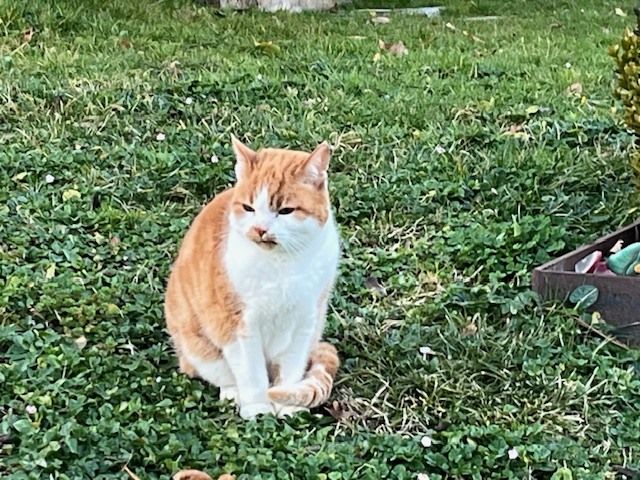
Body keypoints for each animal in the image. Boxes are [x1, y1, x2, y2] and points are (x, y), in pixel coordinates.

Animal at [165, 136, 341, 419]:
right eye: (248, 208)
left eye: (285, 210)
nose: (260, 229)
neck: (281, 264)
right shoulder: (237, 325)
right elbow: (252, 374)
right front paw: (258, 409)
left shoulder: (306, 320)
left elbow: (291, 369)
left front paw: (287, 406)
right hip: (196, 346)